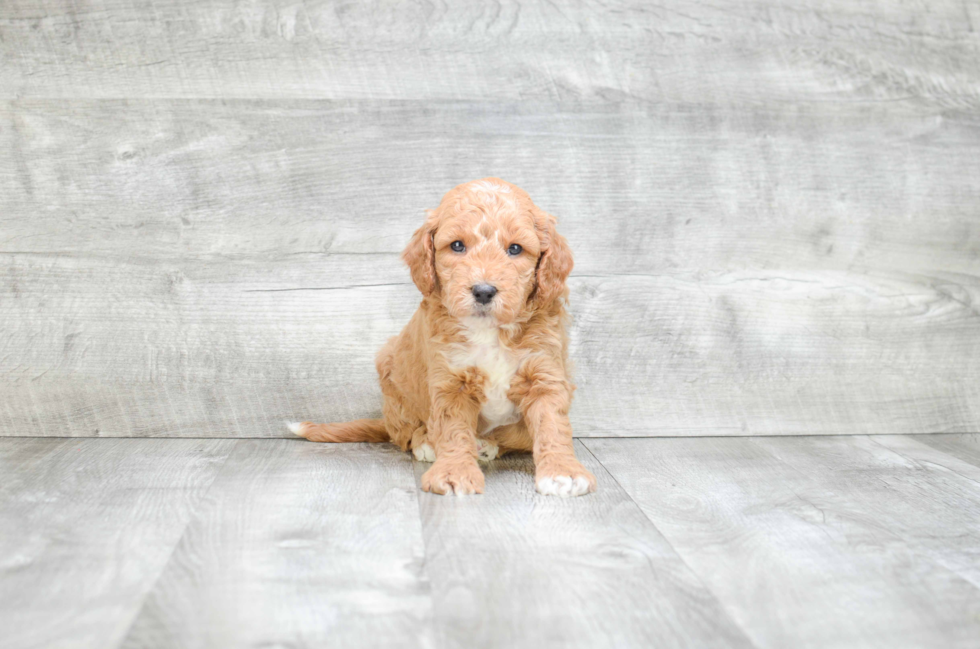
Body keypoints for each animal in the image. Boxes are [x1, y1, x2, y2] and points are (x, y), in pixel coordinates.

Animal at [290, 177, 596, 496]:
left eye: (515, 249)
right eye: (457, 245)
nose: (483, 291)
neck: (489, 331)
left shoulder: (544, 373)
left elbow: (552, 425)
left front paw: (563, 471)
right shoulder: (451, 379)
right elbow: (452, 430)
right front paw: (454, 473)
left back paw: (487, 444)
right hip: (393, 382)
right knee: (406, 434)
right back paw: (427, 443)